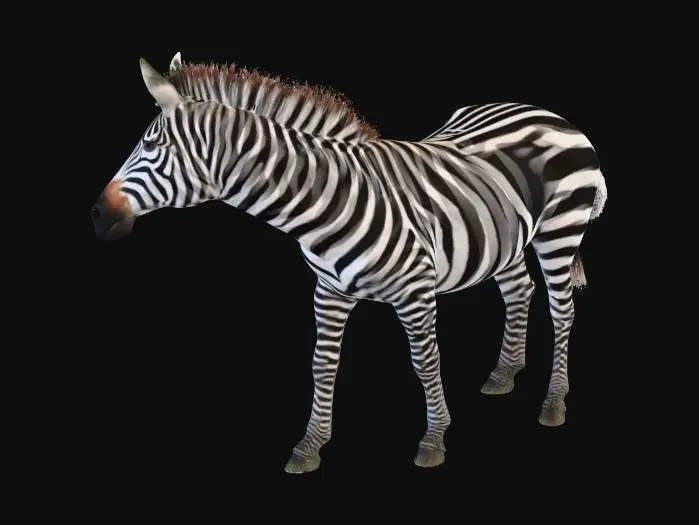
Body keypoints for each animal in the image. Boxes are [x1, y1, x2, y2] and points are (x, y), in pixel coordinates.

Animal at [92, 52, 608, 474]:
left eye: (151, 147)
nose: (97, 214)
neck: (325, 200)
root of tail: (545, 111)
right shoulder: (329, 292)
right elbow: (322, 364)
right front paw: (310, 446)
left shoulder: (415, 291)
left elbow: (425, 362)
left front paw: (434, 439)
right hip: (504, 237)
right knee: (519, 290)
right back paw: (504, 373)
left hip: (560, 227)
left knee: (562, 311)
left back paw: (554, 403)